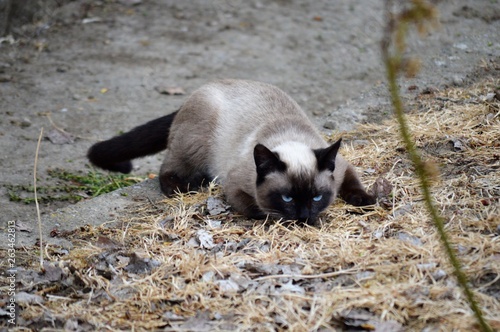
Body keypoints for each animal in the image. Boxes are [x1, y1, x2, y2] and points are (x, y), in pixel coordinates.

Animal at [88, 80, 374, 224]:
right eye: (287, 198)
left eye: (316, 197)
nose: (304, 218)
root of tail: (196, 92)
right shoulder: (234, 186)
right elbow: (258, 209)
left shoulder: (342, 167)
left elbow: (354, 184)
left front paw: (367, 201)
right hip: (195, 146)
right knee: (167, 168)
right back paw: (180, 188)